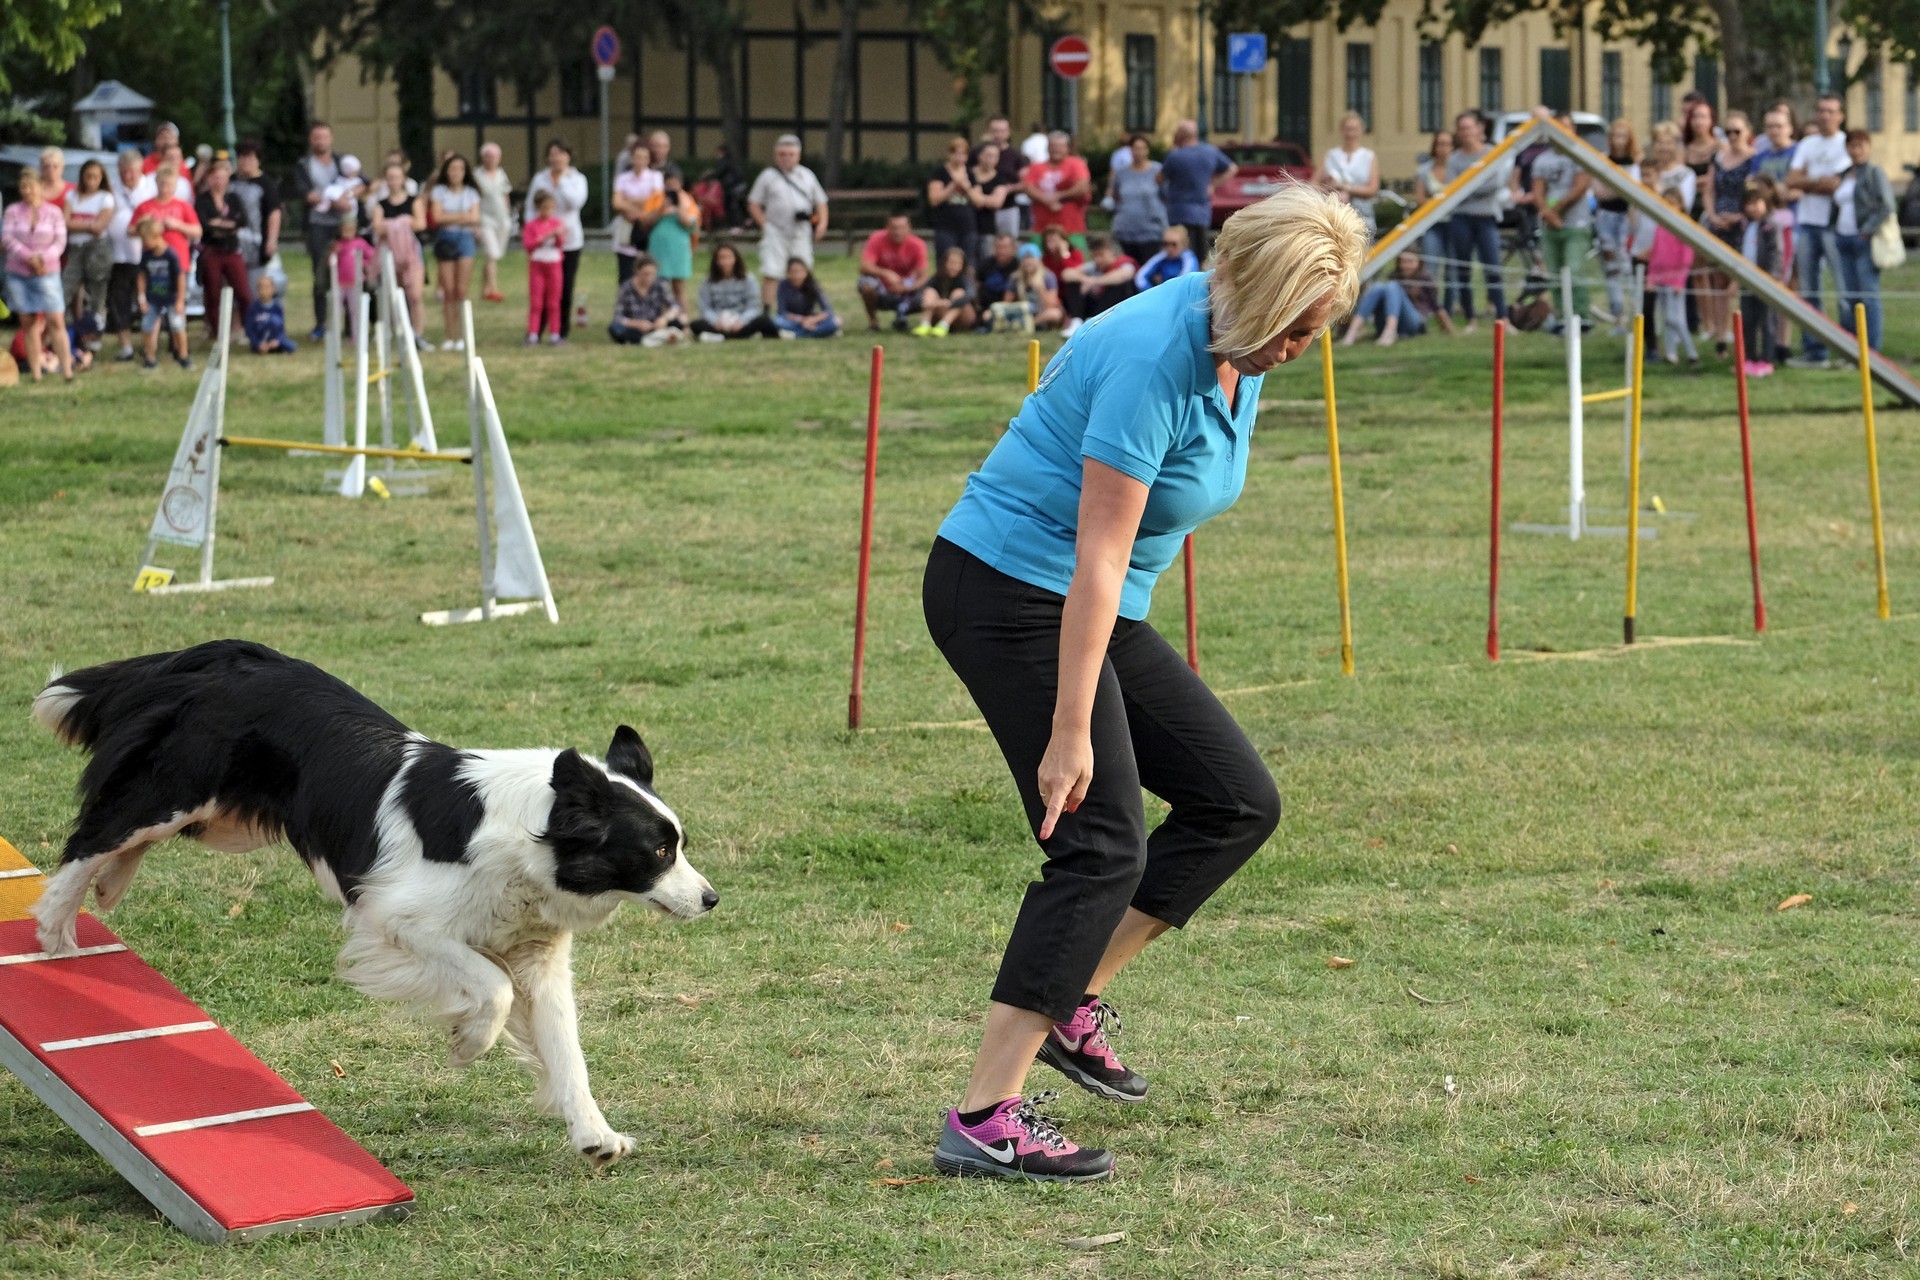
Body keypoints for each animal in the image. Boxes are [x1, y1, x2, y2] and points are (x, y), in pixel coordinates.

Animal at [29, 639, 715, 1166]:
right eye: (659, 852)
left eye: (678, 846)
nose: (711, 899)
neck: (532, 837)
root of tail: (220, 654)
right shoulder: (396, 917)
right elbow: (491, 986)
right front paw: (469, 1043)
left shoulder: (538, 955)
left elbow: (566, 1050)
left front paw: (595, 1136)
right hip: (178, 789)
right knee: (95, 835)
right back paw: (57, 928)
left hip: (226, 821)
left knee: (131, 841)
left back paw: (110, 887)